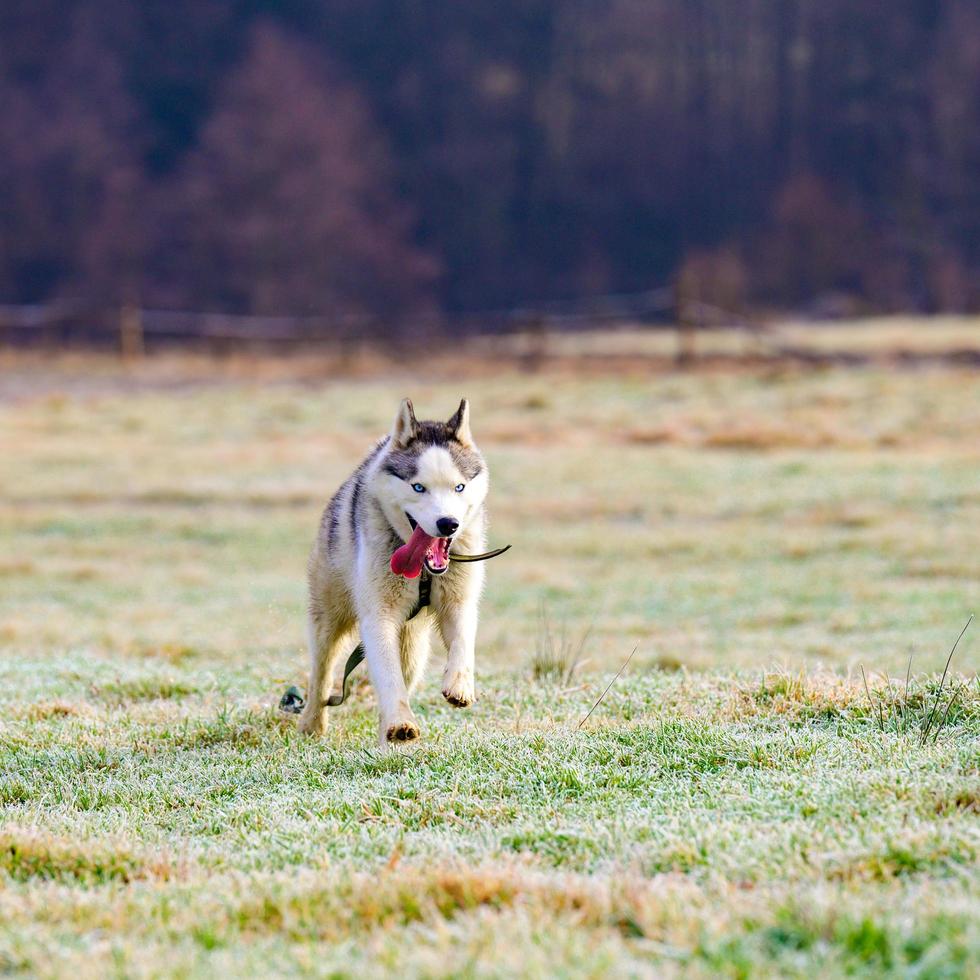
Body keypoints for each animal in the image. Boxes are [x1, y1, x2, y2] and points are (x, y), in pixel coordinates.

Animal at [294, 398, 486, 744]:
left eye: (459, 487)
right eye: (418, 487)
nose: (448, 523)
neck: (424, 572)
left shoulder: (459, 600)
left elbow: (463, 640)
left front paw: (460, 685)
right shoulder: (378, 616)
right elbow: (387, 675)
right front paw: (399, 723)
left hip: (412, 643)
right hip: (328, 616)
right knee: (322, 672)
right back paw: (312, 723)